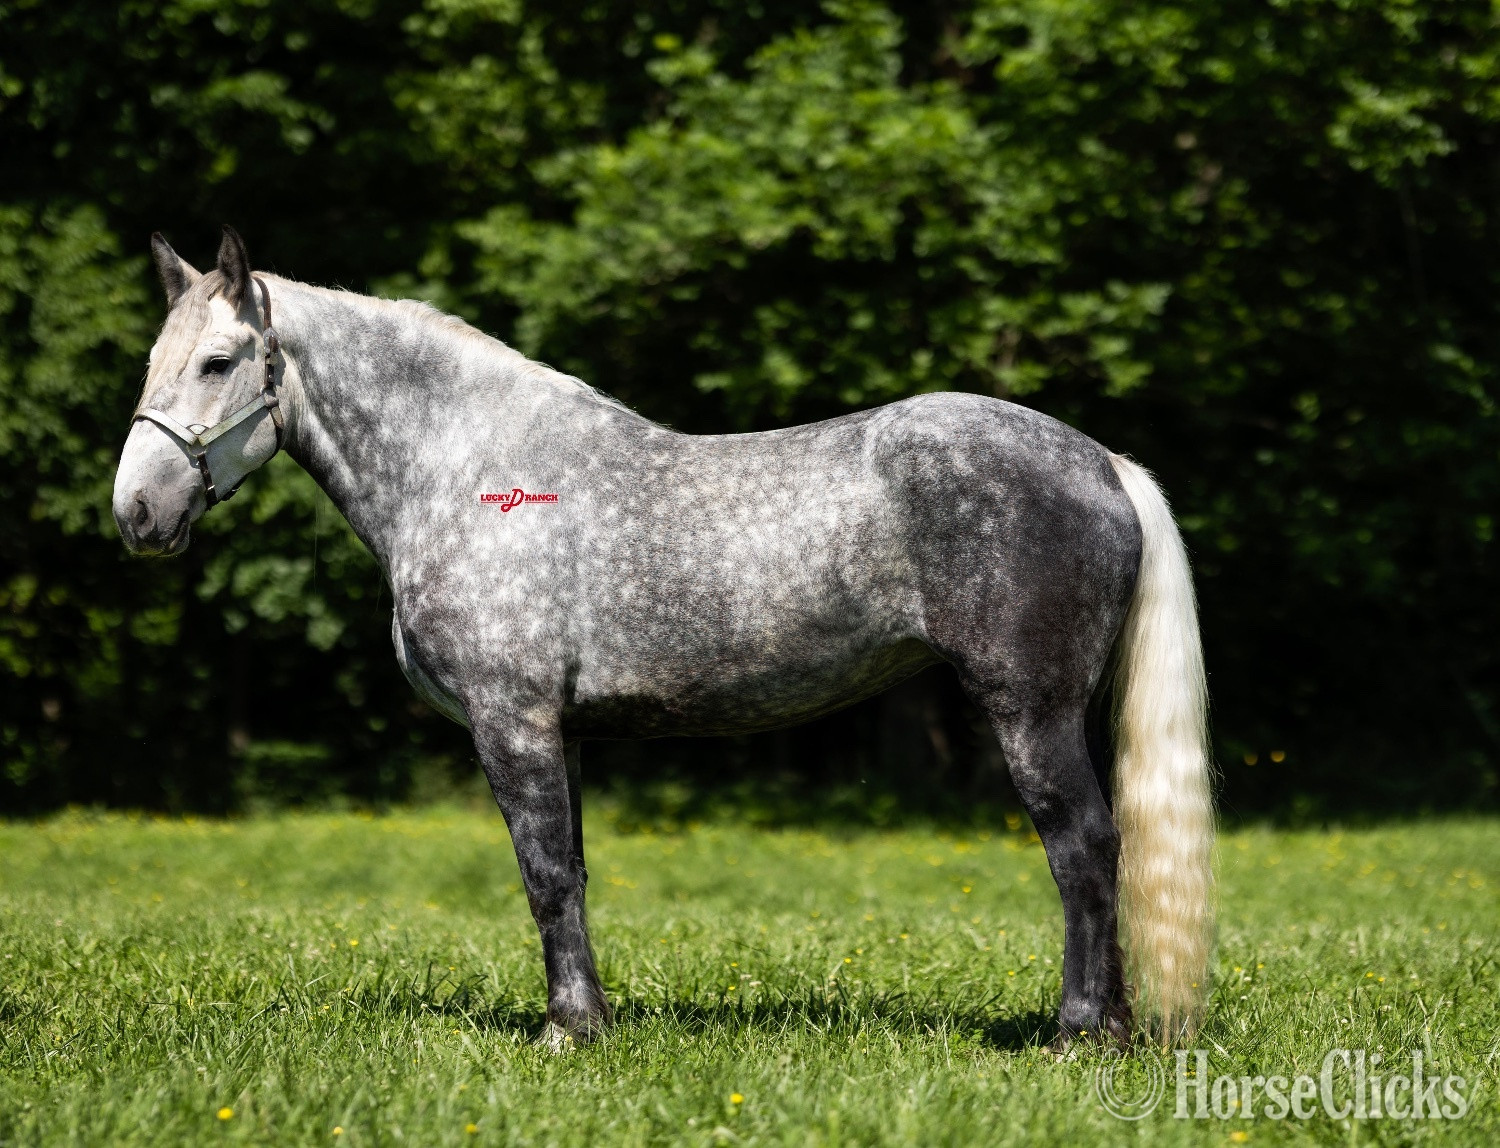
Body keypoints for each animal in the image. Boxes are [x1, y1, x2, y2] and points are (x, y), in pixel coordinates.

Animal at [113, 227, 1214, 1049]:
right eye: (154, 362)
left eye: (218, 362)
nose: (135, 512)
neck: (467, 468)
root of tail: (1104, 463)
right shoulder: (560, 730)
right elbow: (569, 871)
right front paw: (591, 1018)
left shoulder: (512, 719)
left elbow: (545, 872)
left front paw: (568, 1031)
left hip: (1030, 708)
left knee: (1082, 846)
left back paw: (1079, 1032)